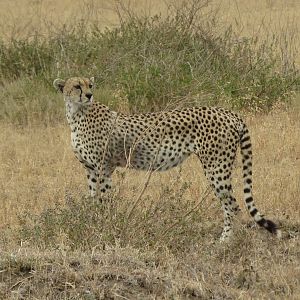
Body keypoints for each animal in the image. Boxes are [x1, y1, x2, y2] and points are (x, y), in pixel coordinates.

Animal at [54, 77, 282, 241]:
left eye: (90, 85)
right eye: (77, 86)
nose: (89, 95)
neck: (76, 114)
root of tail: (228, 112)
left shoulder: (104, 167)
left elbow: (103, 199)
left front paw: (102, 226)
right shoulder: (91, 169)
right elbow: (93, 198)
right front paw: (93, 222)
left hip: (216, 167)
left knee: (232, 206)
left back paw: (225, 241)